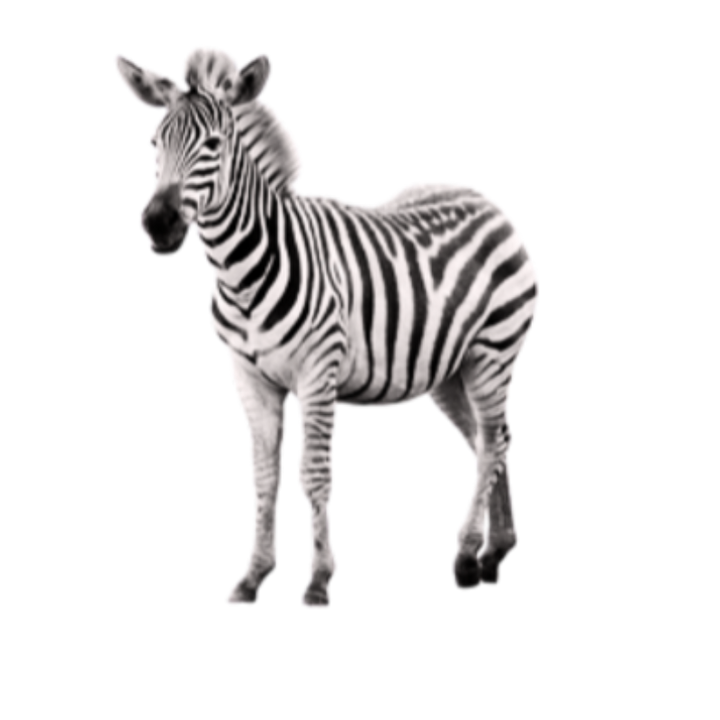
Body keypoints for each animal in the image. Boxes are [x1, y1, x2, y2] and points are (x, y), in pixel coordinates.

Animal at [112, 44, 541, 610]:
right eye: (154, 143)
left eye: (214, 145)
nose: (157, 224)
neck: (244, 269)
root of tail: (484, 198)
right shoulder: (247, 376)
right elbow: (263, 477)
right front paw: (253, 576)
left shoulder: (317, 372)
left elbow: (314, 476)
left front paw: (317, 579)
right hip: (449, 369)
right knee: (491, 441)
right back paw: (497, 548)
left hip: (492, 351)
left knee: (491, 441)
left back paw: (469, 557)